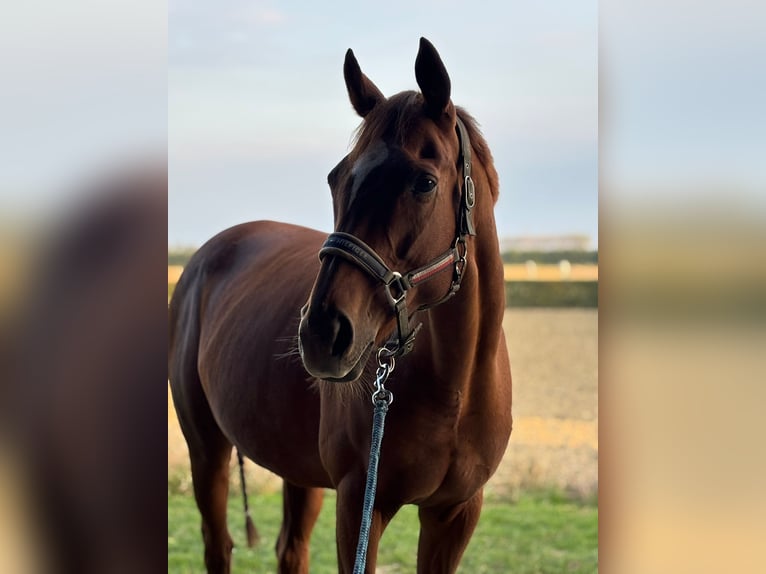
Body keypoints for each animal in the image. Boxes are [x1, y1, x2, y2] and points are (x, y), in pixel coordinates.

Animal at [168, 38, 513, 573]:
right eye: (336, 177)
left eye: (424, 182)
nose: (322, 334)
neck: (455, 389)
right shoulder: (360, 504)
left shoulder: (455, 514)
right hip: (206, 449)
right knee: (218, 544)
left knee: (290, 549)